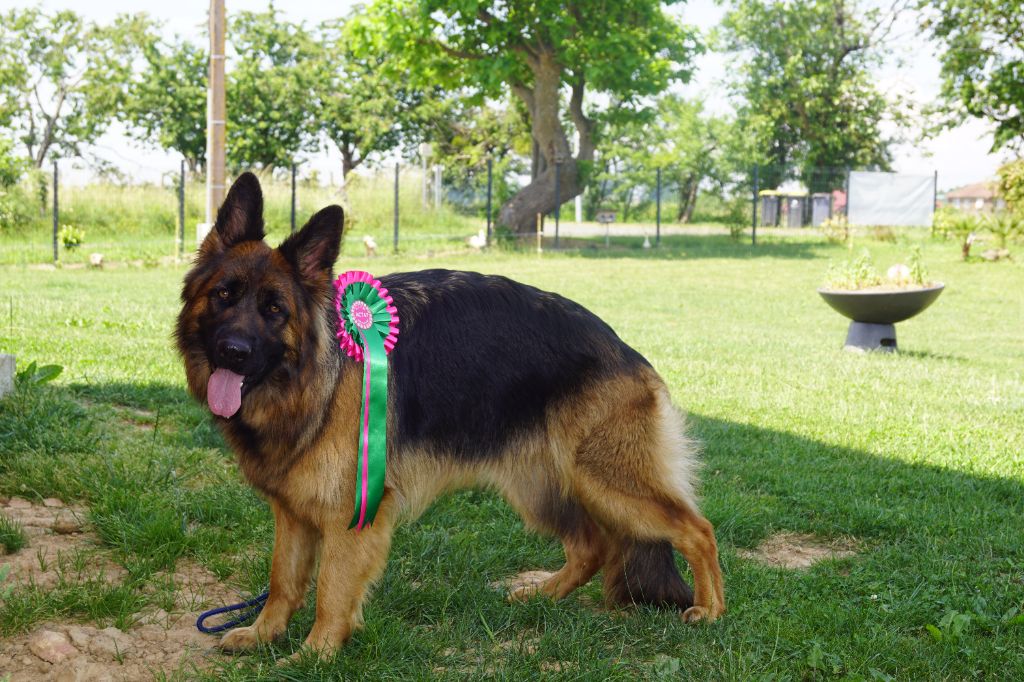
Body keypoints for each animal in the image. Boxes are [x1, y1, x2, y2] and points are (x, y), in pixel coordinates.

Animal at [176, 173, 724, 655]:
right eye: (224, 295)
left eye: (274, 310)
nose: (233, 352)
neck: (314, 377)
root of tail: (626, 351)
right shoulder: (292, 511)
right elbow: (283, 580)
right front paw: (264, 634)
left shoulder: (352, 513)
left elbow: (331, 589)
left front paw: (315, 654)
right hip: (542, 486)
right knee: (594, 546)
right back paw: (543, 595)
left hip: (606, 481)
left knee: (698, 530)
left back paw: (710, 610)